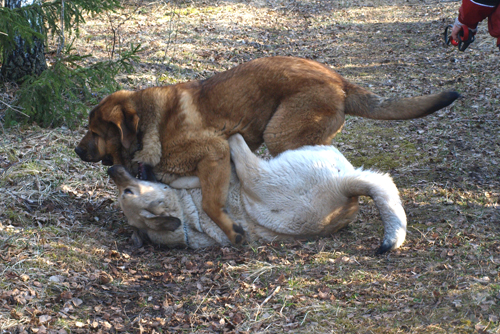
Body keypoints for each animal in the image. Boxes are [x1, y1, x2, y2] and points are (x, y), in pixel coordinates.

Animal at [108, 133, 406, 253]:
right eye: (127, 191)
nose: (112, 168)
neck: (184, 211)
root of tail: (344, 189)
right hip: (258, 175)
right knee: (236, 143)